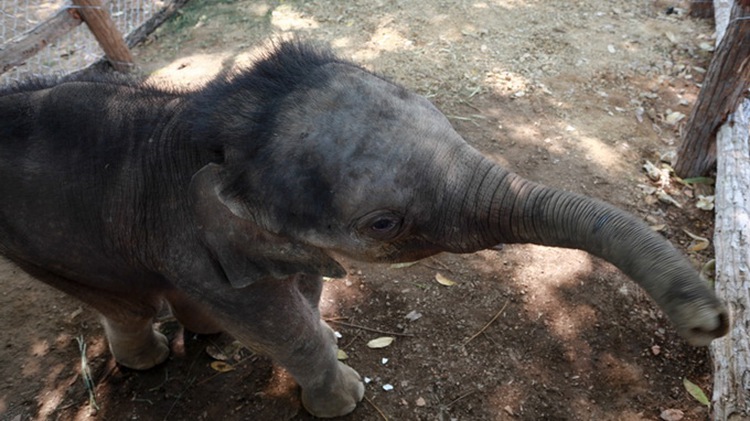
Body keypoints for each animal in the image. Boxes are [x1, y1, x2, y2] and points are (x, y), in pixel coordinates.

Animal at [0, 41, 729, 417]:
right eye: (383, 221)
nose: (713, 322)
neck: (209, 122)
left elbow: (305, 290)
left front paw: (333, 341)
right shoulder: (203, 245)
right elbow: (274, 319)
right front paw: (344, 397)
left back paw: (203, 336)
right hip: (39, 245)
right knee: (117, 296)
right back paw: (147, 360)